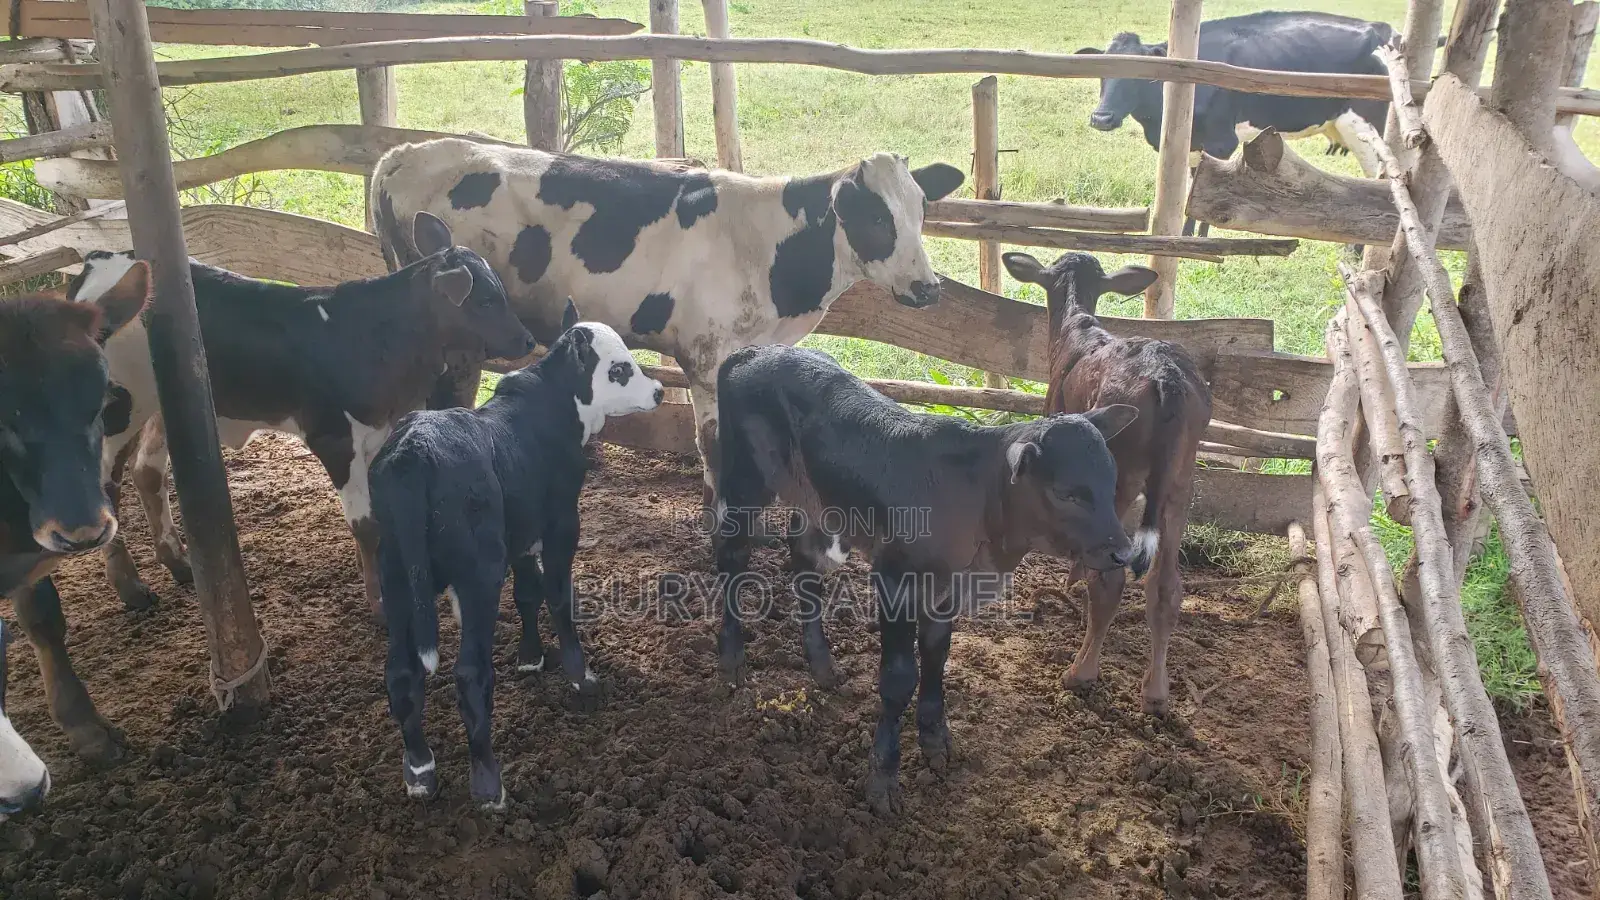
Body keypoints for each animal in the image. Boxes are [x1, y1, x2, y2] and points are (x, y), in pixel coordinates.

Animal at [66, 213, 535, 623]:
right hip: (118, 411)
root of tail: (101, 261)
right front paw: (381, 606)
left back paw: (178, 563)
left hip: (163, 405)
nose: (528, 339)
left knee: (147, 470)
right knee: (106, 485)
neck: (379, 337)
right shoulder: (333, 437)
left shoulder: (378, 432)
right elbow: (366, 524)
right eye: (486, 300)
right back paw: (131, 588)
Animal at [370, 141, 965, 510]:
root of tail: (405, 153)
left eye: (921, 208)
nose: (928, 288)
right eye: (875, 217)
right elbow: (716, 445)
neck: (771, 248)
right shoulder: (705, 356)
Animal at [370, 302, 663, 809]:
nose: (660, 391)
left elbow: (528, 592)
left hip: (399, 578)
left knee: (403, 674)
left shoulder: (522, 530)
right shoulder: (562, 523)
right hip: (479, 576)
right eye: (620, 368)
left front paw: (530, 657)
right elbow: (557, 596)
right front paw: (579, 674)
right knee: (470, 674)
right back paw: (488, 782)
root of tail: (413, 450)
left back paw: (420, 769)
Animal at [711, 343, 1137, 814]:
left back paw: (822, 666)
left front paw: (936, 739)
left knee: (804, 559)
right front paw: (883, 778)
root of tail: (755, 349)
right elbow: (899, 679)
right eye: (1067, 494)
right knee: (732, 554)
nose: (1124, 552)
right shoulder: (896, 582)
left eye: (1112, 481)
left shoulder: (945, 590)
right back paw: (731, 656)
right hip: (745, 480)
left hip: (816, 501)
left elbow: (936, 657)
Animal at [1003, 251, 1213, 716]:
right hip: (1181, 478)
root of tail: (1166, 379)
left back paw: (1080, 672)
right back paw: (1155, 693)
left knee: (1112, 577)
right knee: (1166, 585)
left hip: (1121, 469)